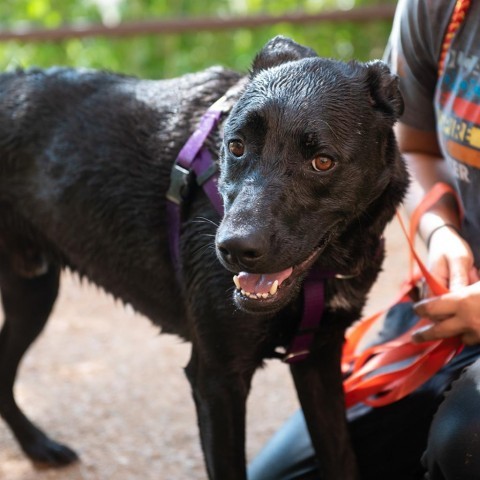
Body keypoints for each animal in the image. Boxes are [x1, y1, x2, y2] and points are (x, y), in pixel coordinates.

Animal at [0, 35, 408, 478]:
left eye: (322, 161)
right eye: (236, 146)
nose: (234, 248)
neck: (321, 273)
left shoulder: (318, 358)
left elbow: (341, 457)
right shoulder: (216, 378)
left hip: (33, 294)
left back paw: (37, 446)